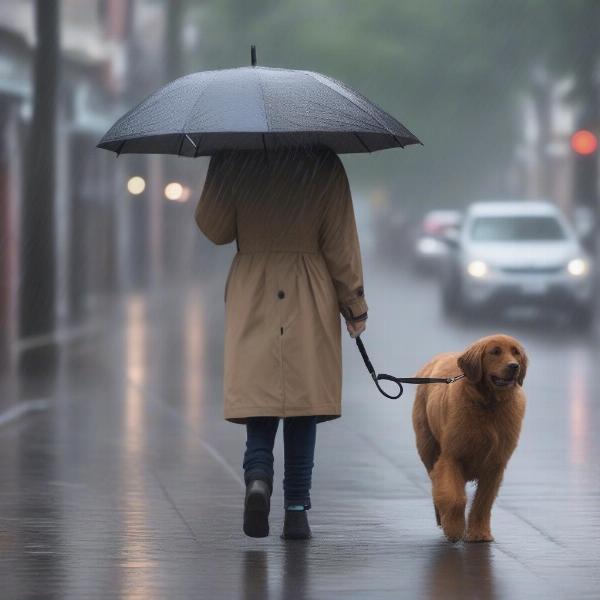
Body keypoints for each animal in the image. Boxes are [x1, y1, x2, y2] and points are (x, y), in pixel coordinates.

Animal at [412, 332, 524, 544]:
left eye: (516, 352)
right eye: (495, 351)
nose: (514, 366)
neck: (489, 404)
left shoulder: (495, 464)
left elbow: (483, 501)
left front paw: (479, 533)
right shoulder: (451, 456)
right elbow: (454, 497)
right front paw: (454, 529)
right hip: (427, 447)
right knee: (436, 482)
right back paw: (442, 517)